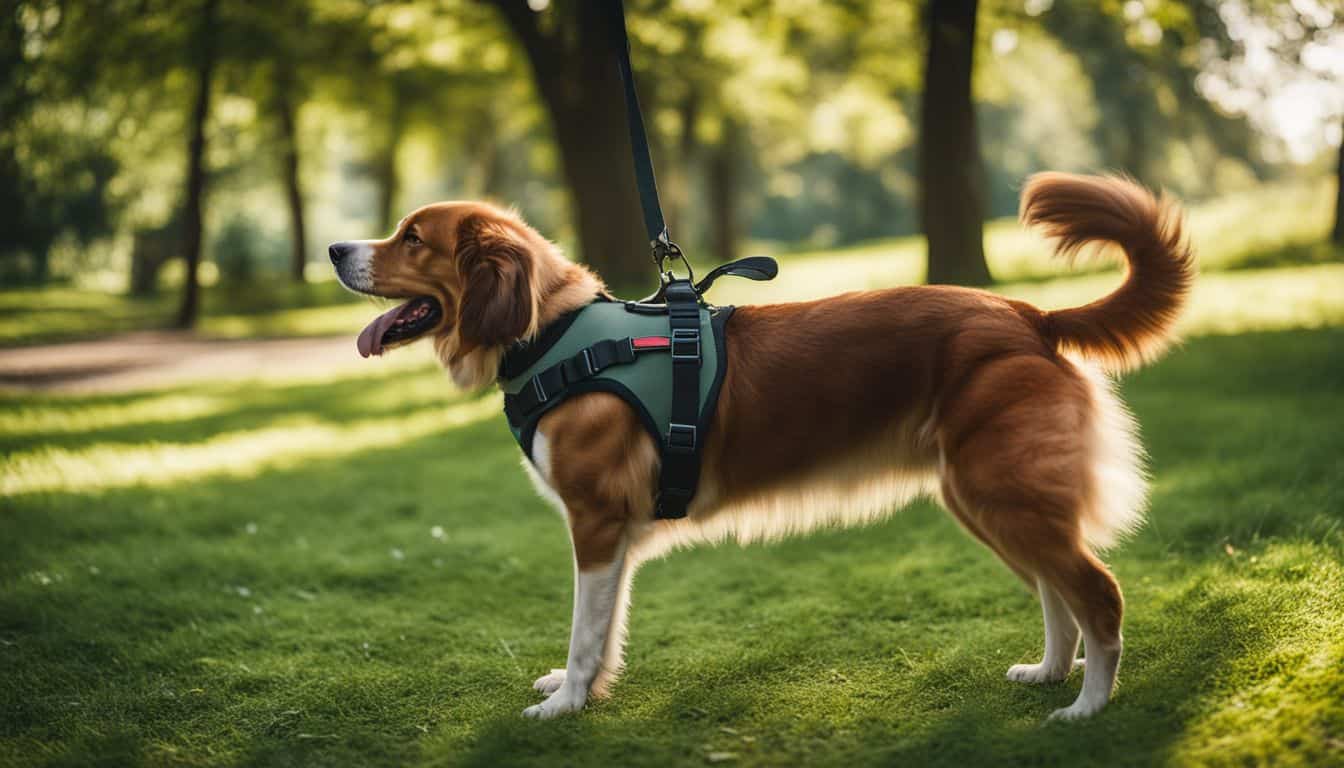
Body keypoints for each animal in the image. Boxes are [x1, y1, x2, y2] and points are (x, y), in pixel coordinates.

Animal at [330, 172, 1193, 720]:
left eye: (413, 238)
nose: (336, 249)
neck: (553, 334)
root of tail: (1026, 315)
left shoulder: (596, 524)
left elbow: (582, 631)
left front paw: (568, 704)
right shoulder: (615, 538)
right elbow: (605, 632)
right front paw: (590, 693)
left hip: (1003, 493)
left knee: (1096, 594)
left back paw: (1086, 707)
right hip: (988, 499)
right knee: (1058, 593)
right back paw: (1050, 673)